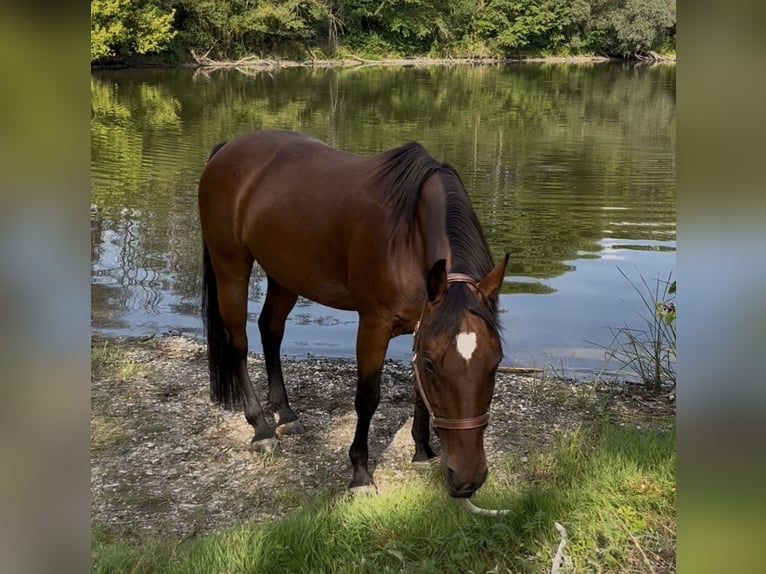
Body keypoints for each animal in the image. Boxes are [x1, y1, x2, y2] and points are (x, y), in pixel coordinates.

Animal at [198, 130, 508, 498]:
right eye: (433, 365)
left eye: (496, 361)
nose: (468, 479)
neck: (410, 234)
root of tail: (227, 149)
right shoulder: (374, 325)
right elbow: (367, 398)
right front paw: (360, 473)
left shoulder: (423, 325)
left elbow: (419, 394)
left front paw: (422, 452)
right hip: (231, 267)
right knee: (239, 344)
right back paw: (261, 428)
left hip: (284, 276)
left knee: (270, 330)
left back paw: (285, 415)